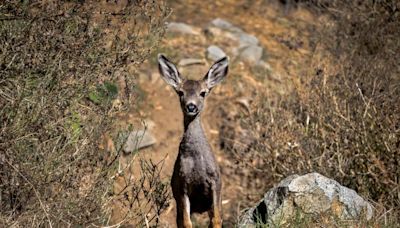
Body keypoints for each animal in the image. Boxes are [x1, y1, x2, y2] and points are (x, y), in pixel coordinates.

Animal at [159, 54, 228, 228]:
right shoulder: (182, 184)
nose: (191, 106)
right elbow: (186, 222)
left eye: (203, 93)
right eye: (180, 92)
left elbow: (217, 219)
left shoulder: (215, 181)